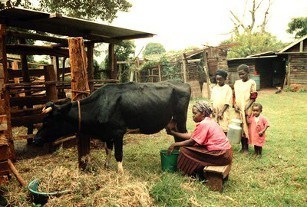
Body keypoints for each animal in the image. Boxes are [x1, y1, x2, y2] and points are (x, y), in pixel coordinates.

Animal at [35, 80, 191, 172]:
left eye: (47, 122)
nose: (36, 140)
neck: (100, 106)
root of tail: (182, 83)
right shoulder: (107, 134)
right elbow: (108, 150)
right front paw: (106, 166)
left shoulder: (118, 132)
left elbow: (118, 154)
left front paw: (120, 173)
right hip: (173, 123)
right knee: (177, 139)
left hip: (181, 119)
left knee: (183, 137)